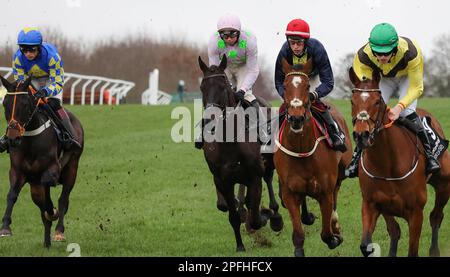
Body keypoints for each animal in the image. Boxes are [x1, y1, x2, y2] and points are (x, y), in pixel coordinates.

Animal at [0, 75, 84, 246]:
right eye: (5, 103)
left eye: (25, 104)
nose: (12, 138)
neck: (31, 139)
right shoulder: (17, 171)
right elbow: (12, 194)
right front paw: (5, 227)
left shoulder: (53, 168)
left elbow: (49, 192)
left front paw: (52, 211)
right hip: (34, 187)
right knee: (42, 208)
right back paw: (46, 243)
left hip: (72, 167)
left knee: (63, 199)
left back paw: (59, 231)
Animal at [199, 55, 284, 251]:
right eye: (202, 88)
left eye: (223, 87)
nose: (208, 121)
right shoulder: (223, 180)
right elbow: (233, 216)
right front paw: (240, 246)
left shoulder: (254, 176)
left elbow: (256, 219)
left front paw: (265, 215)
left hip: (267, 162)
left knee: (268, 179)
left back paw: (274, 216)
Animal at [272, 58, 354, 256]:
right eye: (285, 85)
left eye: (308, 85)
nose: (296, 118)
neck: (302, 150)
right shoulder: (289, 193)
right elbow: (298, 234)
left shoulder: (324, 193)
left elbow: (326, 234)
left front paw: (335, 237)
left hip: (340, 172)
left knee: (336, 192)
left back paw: (335, 224)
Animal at [348, 67, 450, 256]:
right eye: (352, 101)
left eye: (377, 102)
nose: (361, 135)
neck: (387, 164)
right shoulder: (372, 204)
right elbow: (370, 243)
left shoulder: (416, 213)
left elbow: (412, 249)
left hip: (443, 185)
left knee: (436, 217)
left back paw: (434, 250)